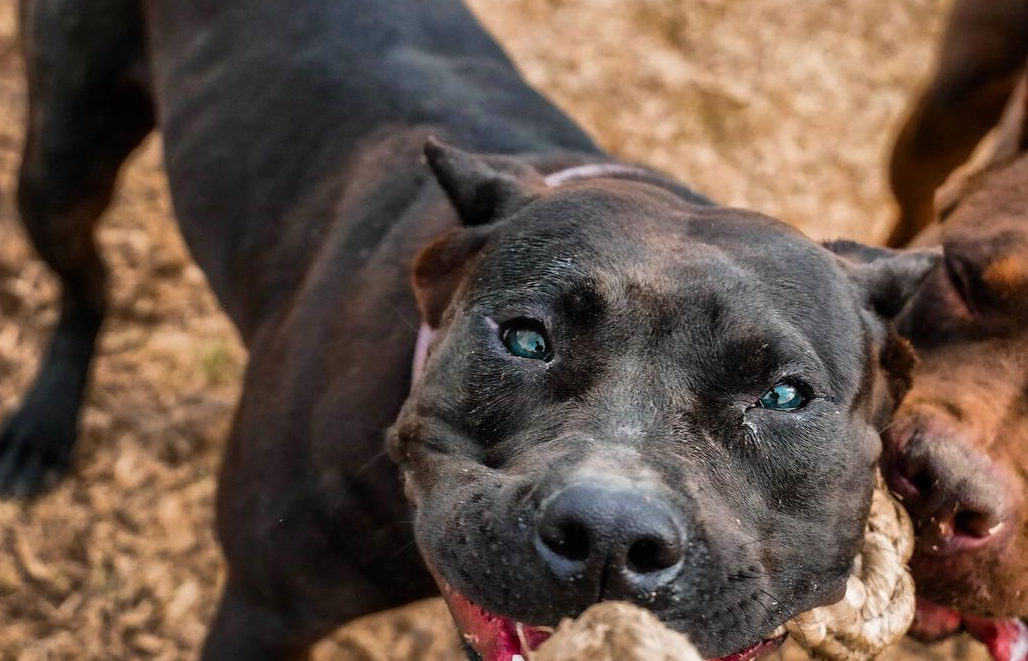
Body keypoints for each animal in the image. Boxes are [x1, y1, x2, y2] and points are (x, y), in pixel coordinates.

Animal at [4, 1, 941, 661]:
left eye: (783, 394)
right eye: (524, 338)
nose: (611, 534)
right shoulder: (261, 614)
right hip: (62, 158)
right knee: (86, 282)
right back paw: (43, 425)